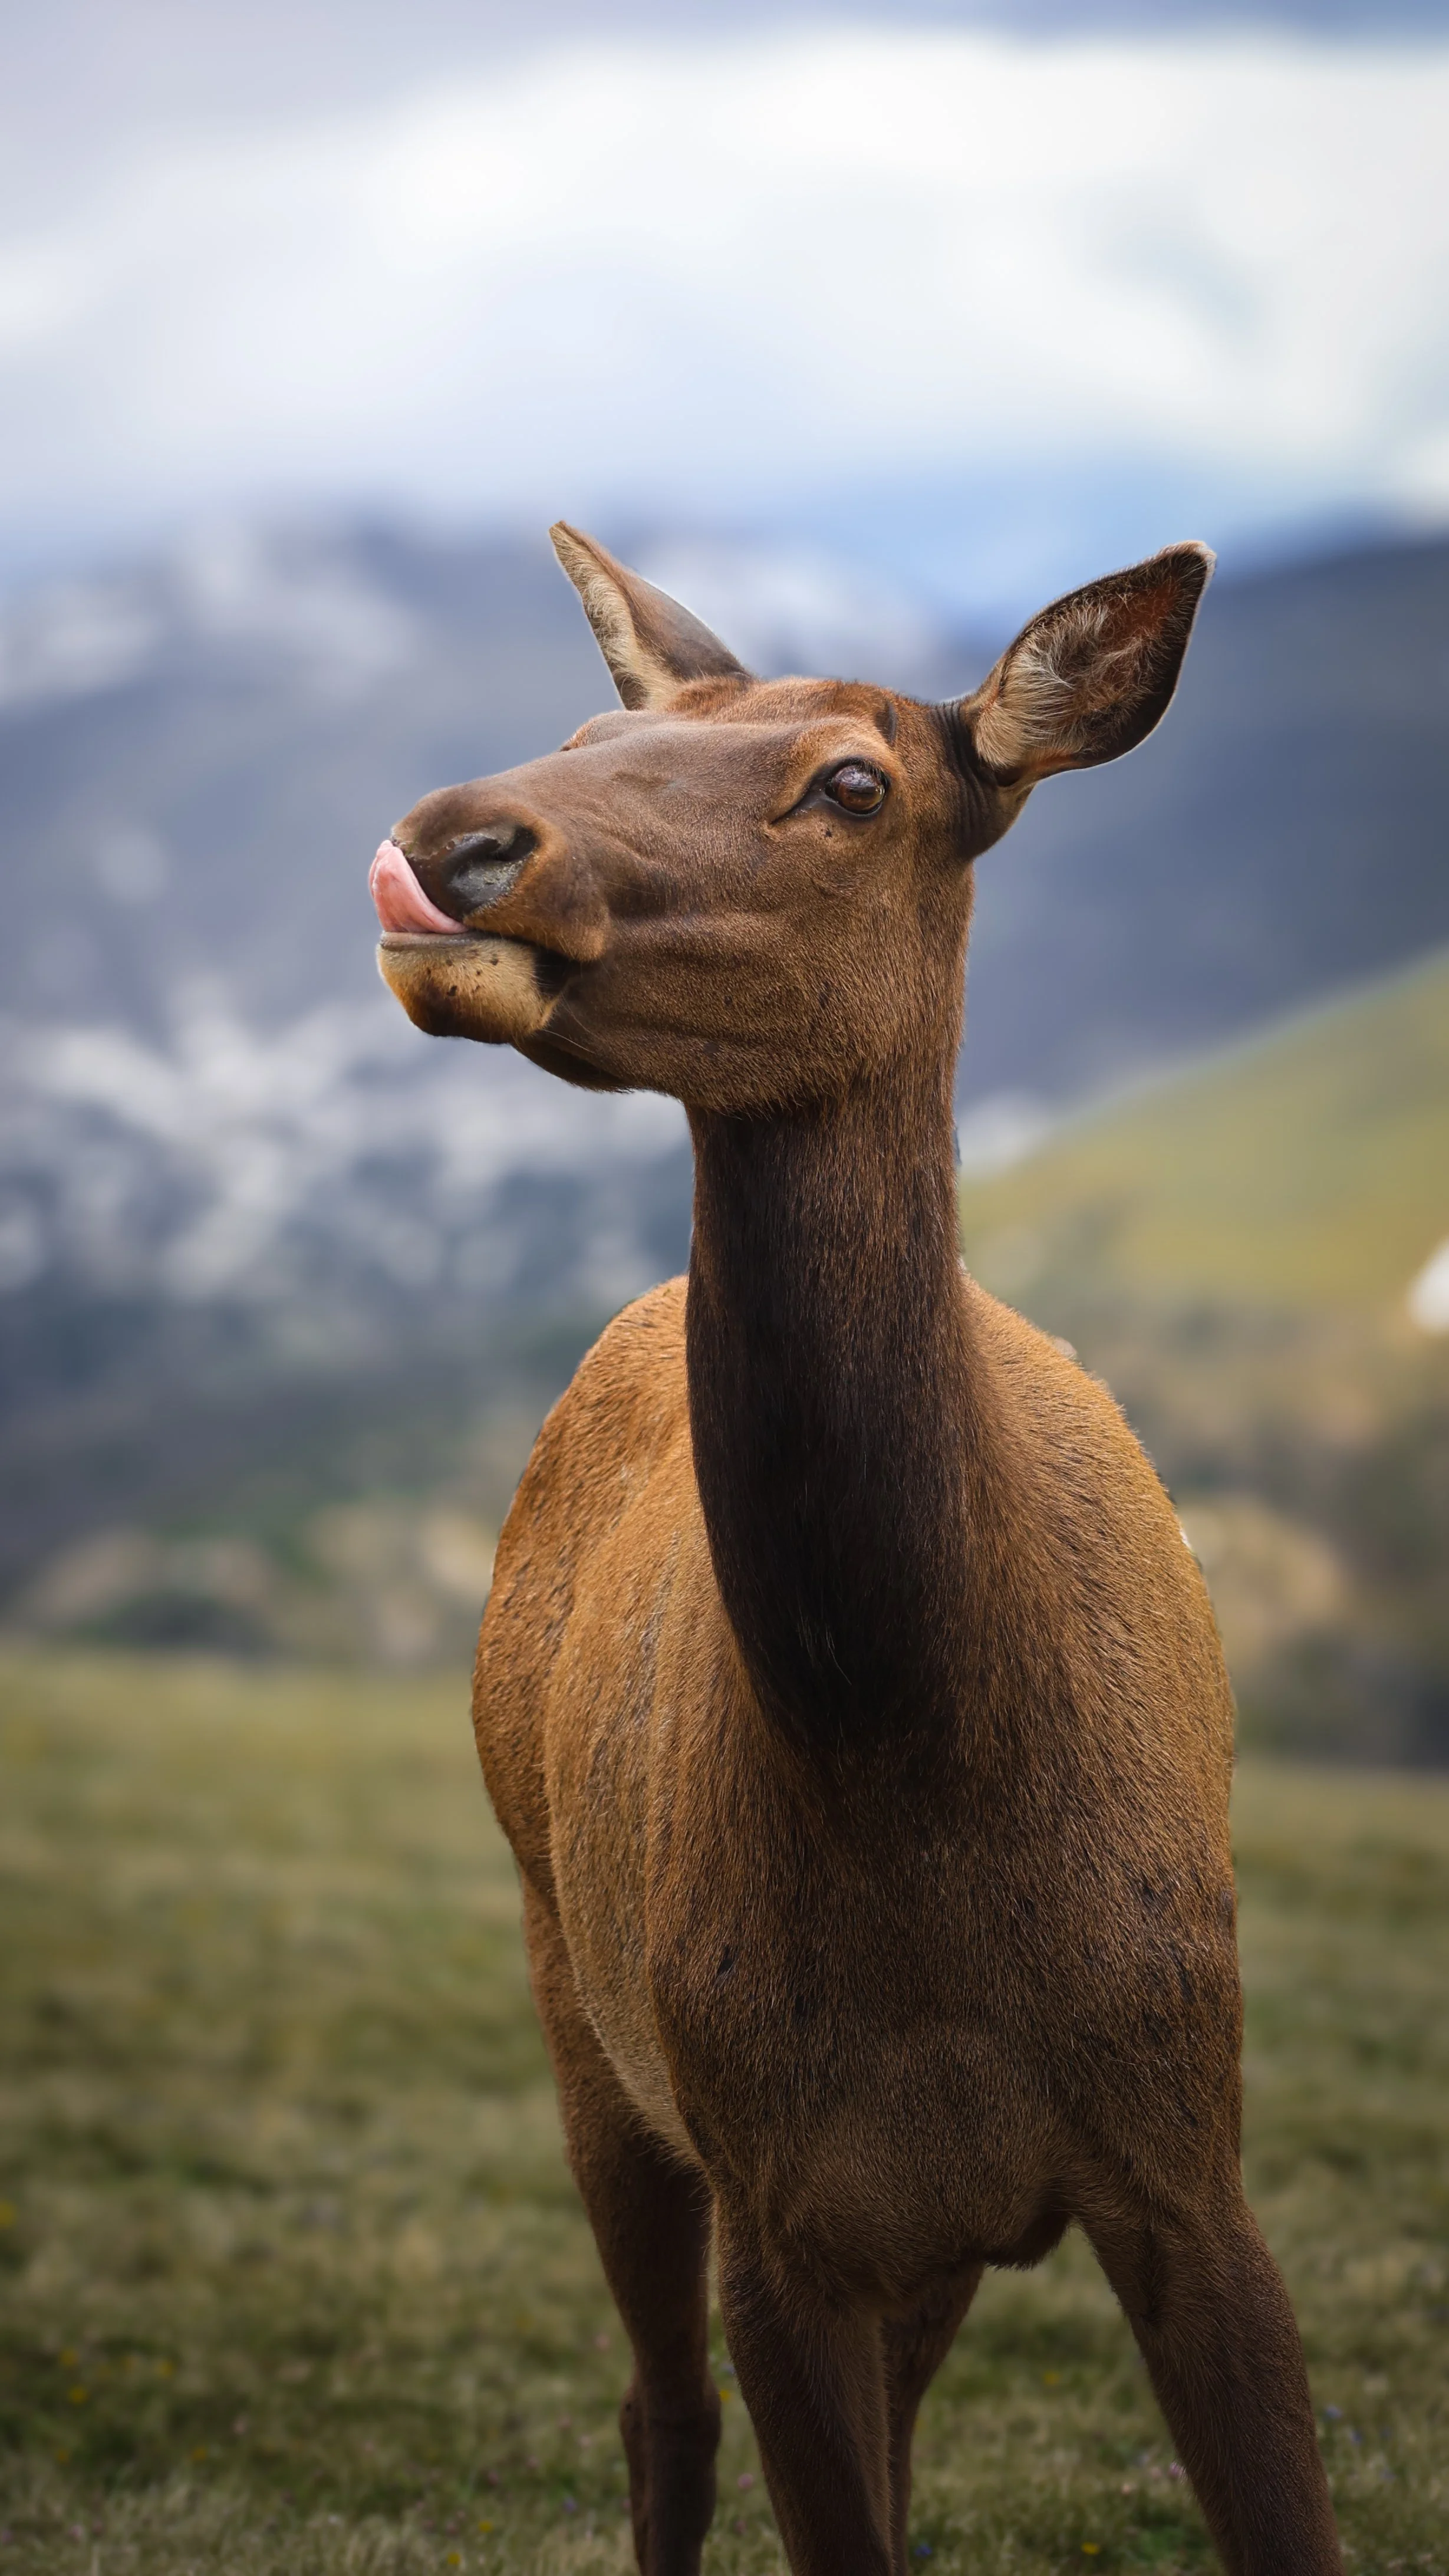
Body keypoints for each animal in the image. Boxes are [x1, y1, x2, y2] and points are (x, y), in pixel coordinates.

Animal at [368, 525, 1341, 2576]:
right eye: (584, 734)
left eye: (851, 785)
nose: (458, 836)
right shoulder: (779, 2199)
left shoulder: (1191, 2158)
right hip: (582, 1998)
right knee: (659, 2410)